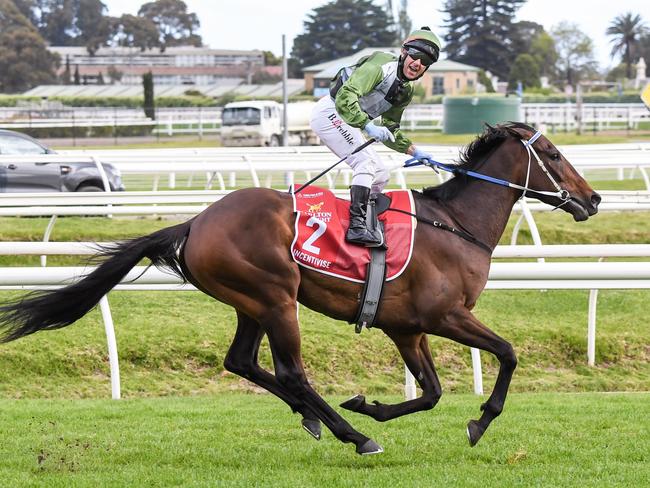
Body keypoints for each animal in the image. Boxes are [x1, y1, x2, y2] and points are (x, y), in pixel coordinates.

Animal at [0, 122, 596, 454]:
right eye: (556, 155)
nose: (592, 200)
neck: (455, 224)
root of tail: (195, 222)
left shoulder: (406, 329)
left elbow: (430, 392)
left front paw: (370, 404)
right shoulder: (444, 316)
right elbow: (508, 353)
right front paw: (479, 421)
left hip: (250, 302)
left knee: (241, 361)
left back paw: (318, 418)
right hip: (275, 297)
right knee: (291, 371)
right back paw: (353, 437)